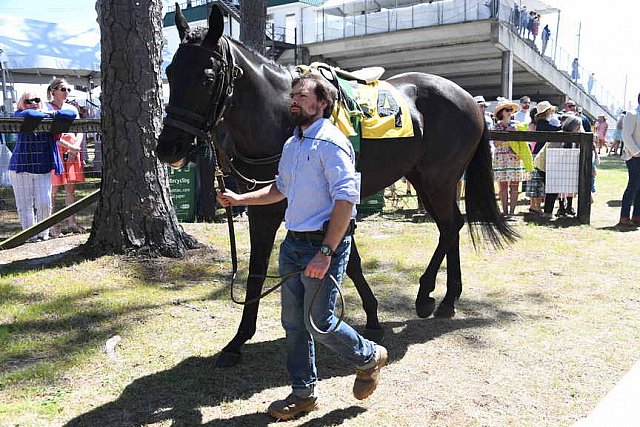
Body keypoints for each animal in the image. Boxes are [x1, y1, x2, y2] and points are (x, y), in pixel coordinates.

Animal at [156, 4, 516, 368]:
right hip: (422, 177)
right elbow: (327, 262)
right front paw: (371, 314)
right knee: (449, 225)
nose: (168, 147)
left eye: (207, 77)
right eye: (170, 71)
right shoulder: (269, 206)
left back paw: (436, 297)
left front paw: (239, 340)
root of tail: (467, 98)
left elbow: (290, 264)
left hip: (439, 179)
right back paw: (437, 295)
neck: (283, 119)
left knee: (450, 225)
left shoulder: (286, 208)